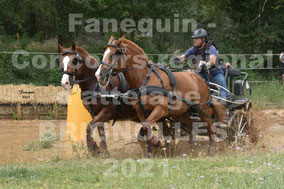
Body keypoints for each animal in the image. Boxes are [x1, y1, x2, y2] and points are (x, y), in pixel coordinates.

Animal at [96, 35, 225, 157]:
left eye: (114, 54)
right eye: (104, 52)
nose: (99, 74)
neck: (145, 80)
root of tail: (199, 79)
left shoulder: (161, 109)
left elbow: (147, 126)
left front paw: (158, 143)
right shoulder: (141, 112)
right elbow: (146, 128)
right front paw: (152, 150)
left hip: (203, 109)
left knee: (211, 128)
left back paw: (211, 151)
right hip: (180, 114)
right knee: (192, 126)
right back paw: (193, 148)